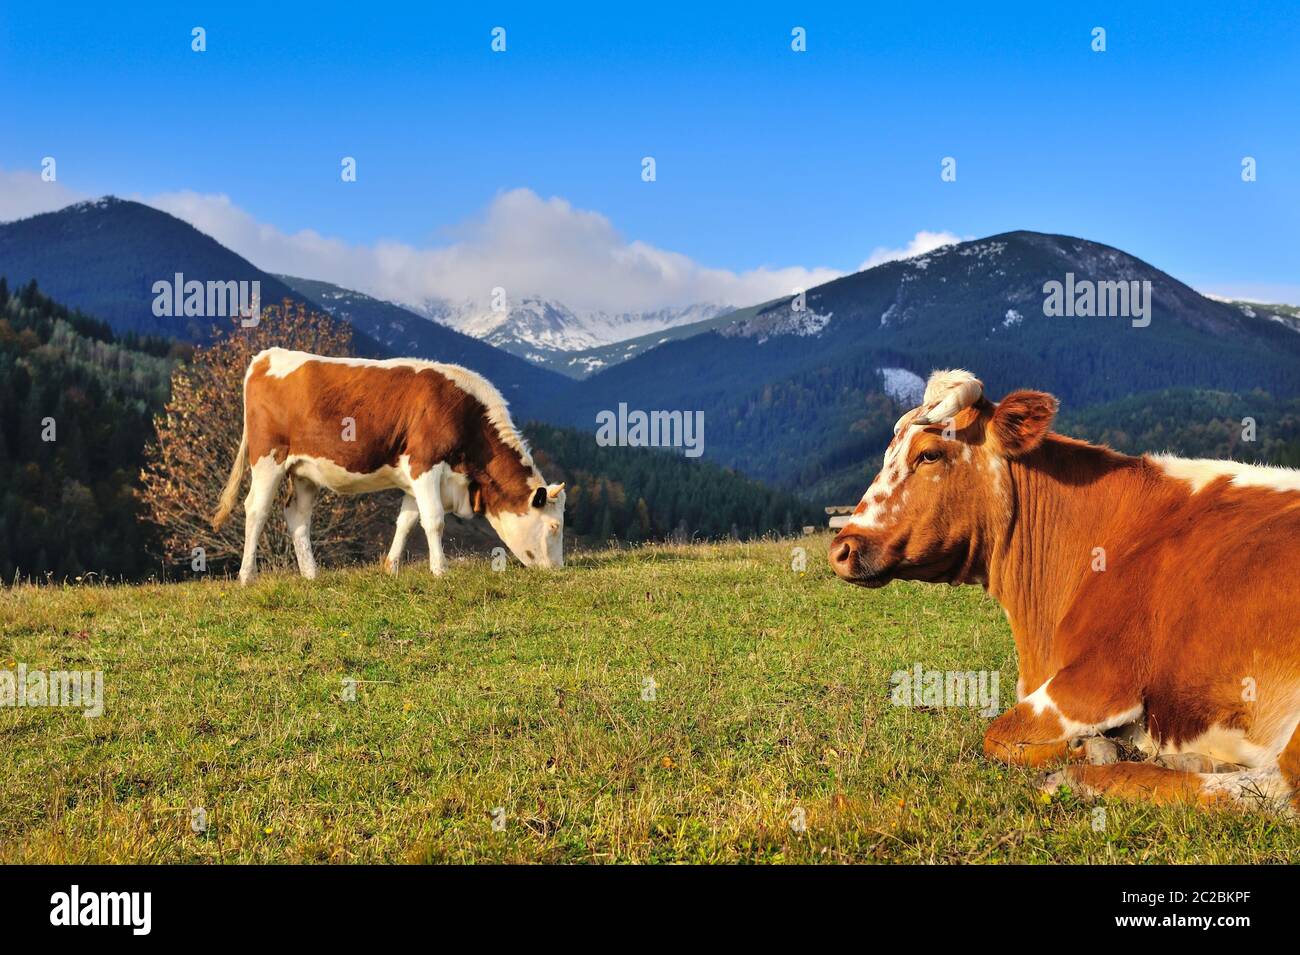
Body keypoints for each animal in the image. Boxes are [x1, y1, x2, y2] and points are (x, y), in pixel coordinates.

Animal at [211, 348, 566, 584]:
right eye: (553, 527)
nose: (559, 570)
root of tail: (268, 356)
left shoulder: (415, 476)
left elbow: (406, 521)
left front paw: (391, 567)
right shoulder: (425, 463)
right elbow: (434, 520)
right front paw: (440, 570)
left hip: (304, 471)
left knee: (297, 515)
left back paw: (311, 575)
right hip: (267, 457)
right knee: (256, 509)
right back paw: (247, 576)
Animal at [829, 369, 1300, 812]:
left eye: (929, 454)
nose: (841, 547)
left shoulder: (1101, 679)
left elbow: (997, 736)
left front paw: (1092, 750)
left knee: (1274, 790)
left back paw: (1084, 775)